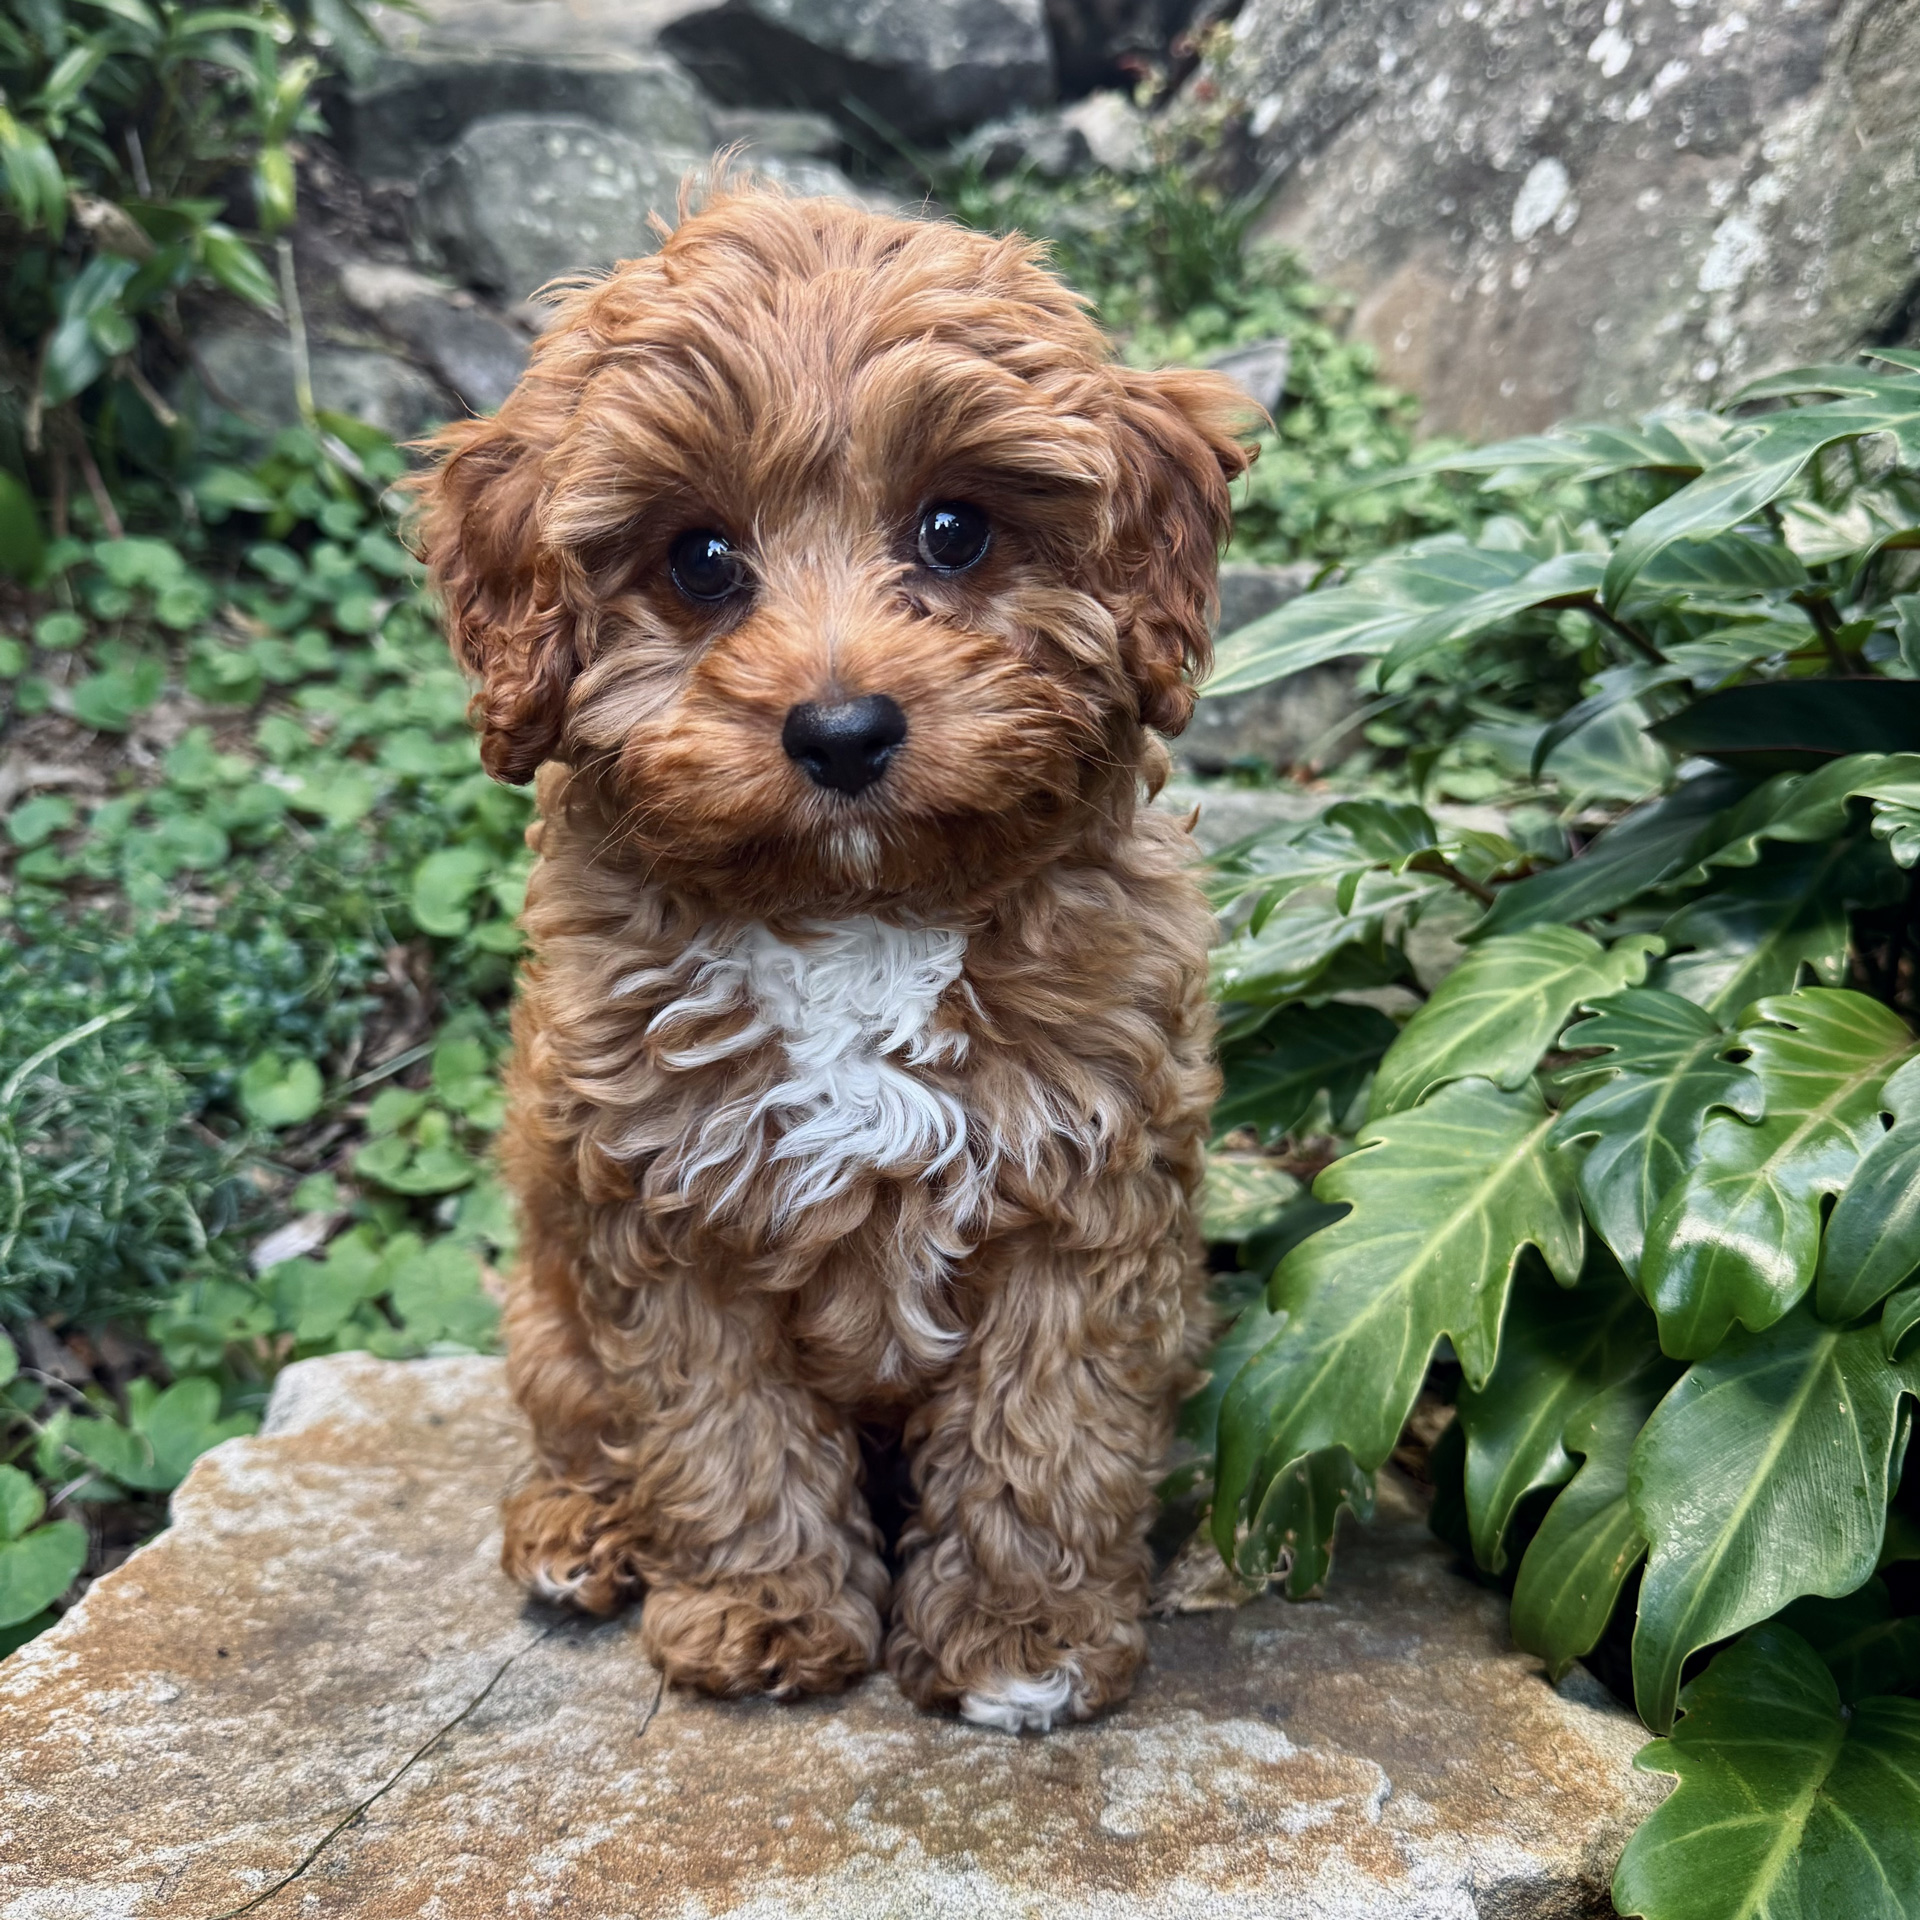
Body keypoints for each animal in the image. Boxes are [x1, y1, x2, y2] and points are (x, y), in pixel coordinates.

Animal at [416, 189, 1255, 1731]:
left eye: (955, 530)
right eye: (698, 560)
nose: (844, 729)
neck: (855, 915)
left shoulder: (1090, 1185)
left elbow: (1046, 1430)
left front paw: (1025, 1638)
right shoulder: (661, 1196)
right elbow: (719, 1426)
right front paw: (762, 1610)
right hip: (548, 1310)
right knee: (583, 1422)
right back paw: (581, 1527)